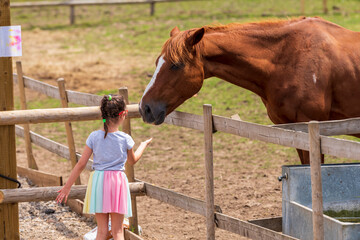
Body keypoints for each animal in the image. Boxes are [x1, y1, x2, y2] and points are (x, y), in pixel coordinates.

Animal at [139, 15, 360, 164]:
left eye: (176, 65)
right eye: (158, 62)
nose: (145, 108)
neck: (289, 57)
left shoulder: (312, 131)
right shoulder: (294, 133)